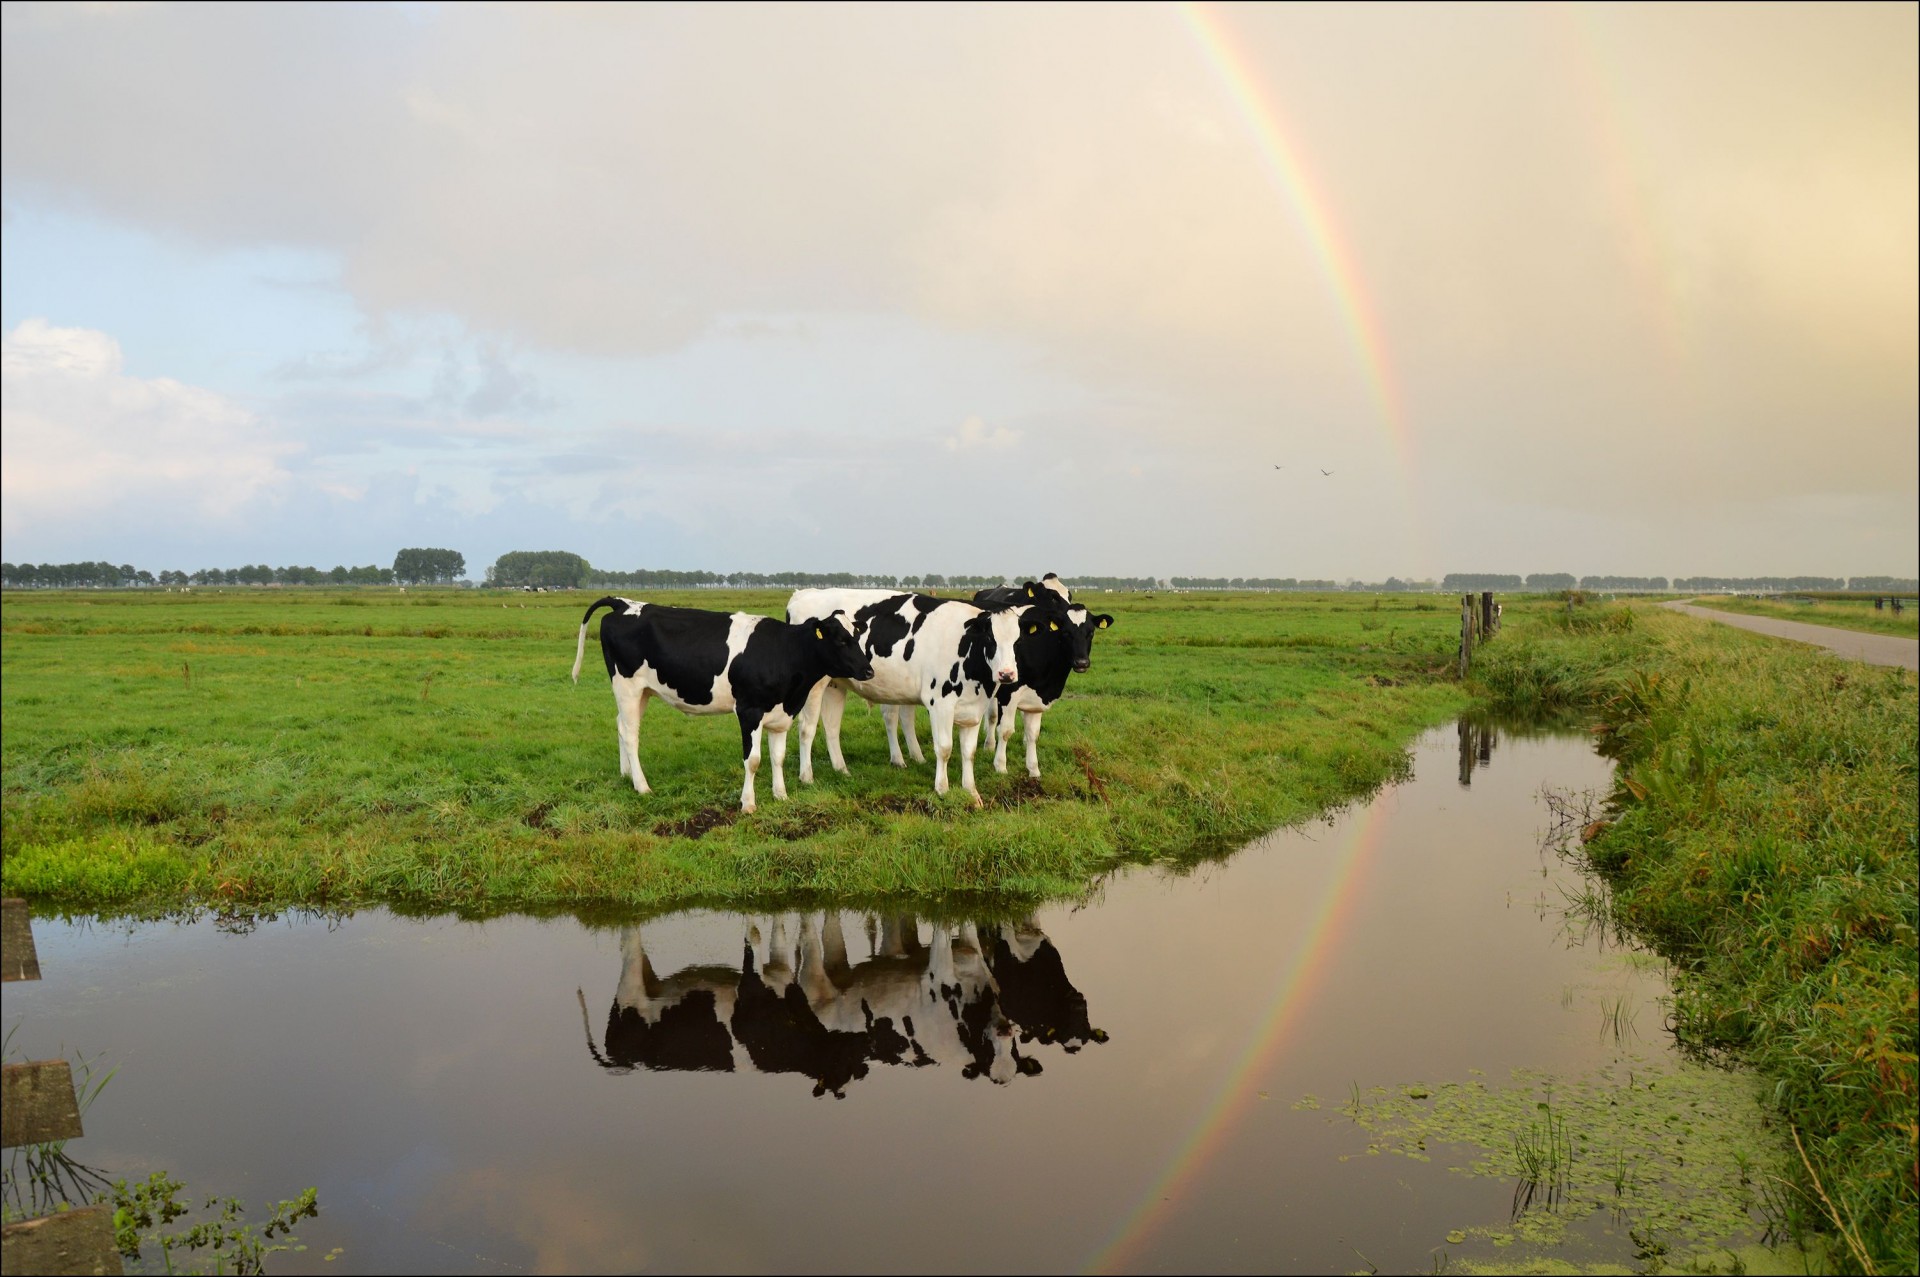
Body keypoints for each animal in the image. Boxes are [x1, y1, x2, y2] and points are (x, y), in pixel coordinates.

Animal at [568, 595, 871, 810]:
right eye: (840, 640)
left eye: (857, 636)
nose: (868, 671)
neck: (783, 652)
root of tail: (623, 603)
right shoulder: (749, 711)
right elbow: (753, 760)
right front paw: (748, 803)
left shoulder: (781, 714)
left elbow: (779, 756)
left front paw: (781, 795)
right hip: (627, 686)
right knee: (631, 734)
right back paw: (642, 786)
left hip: (641, 691)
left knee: (621, 725)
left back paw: (626, 775)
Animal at [783, 583, 1021, 802]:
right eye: (990, 638)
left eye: (1017, 641)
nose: (1007, 674)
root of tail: (803, 593)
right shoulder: (940, 704)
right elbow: (944, 748)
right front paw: (942, 789)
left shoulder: (974, 708)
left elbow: (968, 752)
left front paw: (971, 792)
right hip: (814, 685)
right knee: (806, 728)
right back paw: (807, 777)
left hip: (836, 684)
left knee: (832, 727)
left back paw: (841, 769)